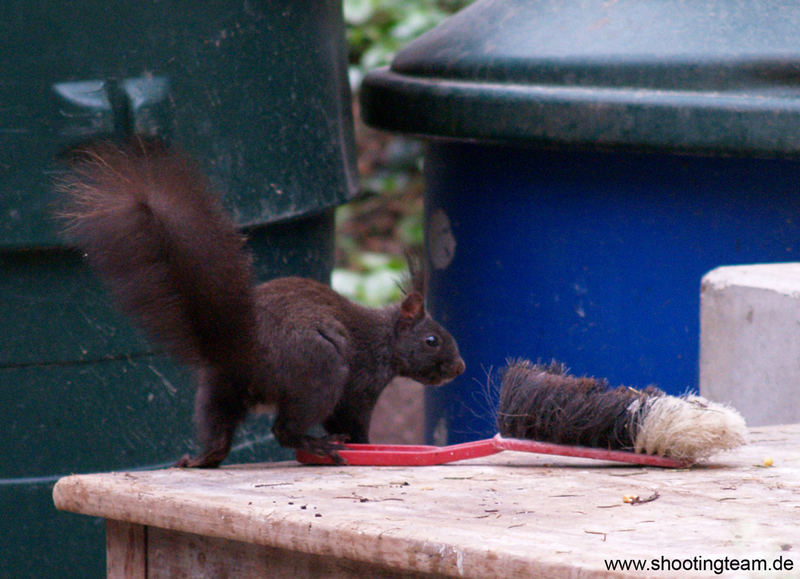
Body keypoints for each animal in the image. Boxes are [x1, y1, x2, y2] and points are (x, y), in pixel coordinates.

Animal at [56, 138, 466, 468]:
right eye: (432, 340)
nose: (459, 367)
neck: (384, 338)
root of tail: (238, 344)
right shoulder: (361, 383)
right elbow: (351, 422)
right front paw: (368, 447)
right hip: (319, 369)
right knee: (283, 429)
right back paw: (319, 446)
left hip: (219, 386)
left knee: (218, 427)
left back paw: (202, 460)